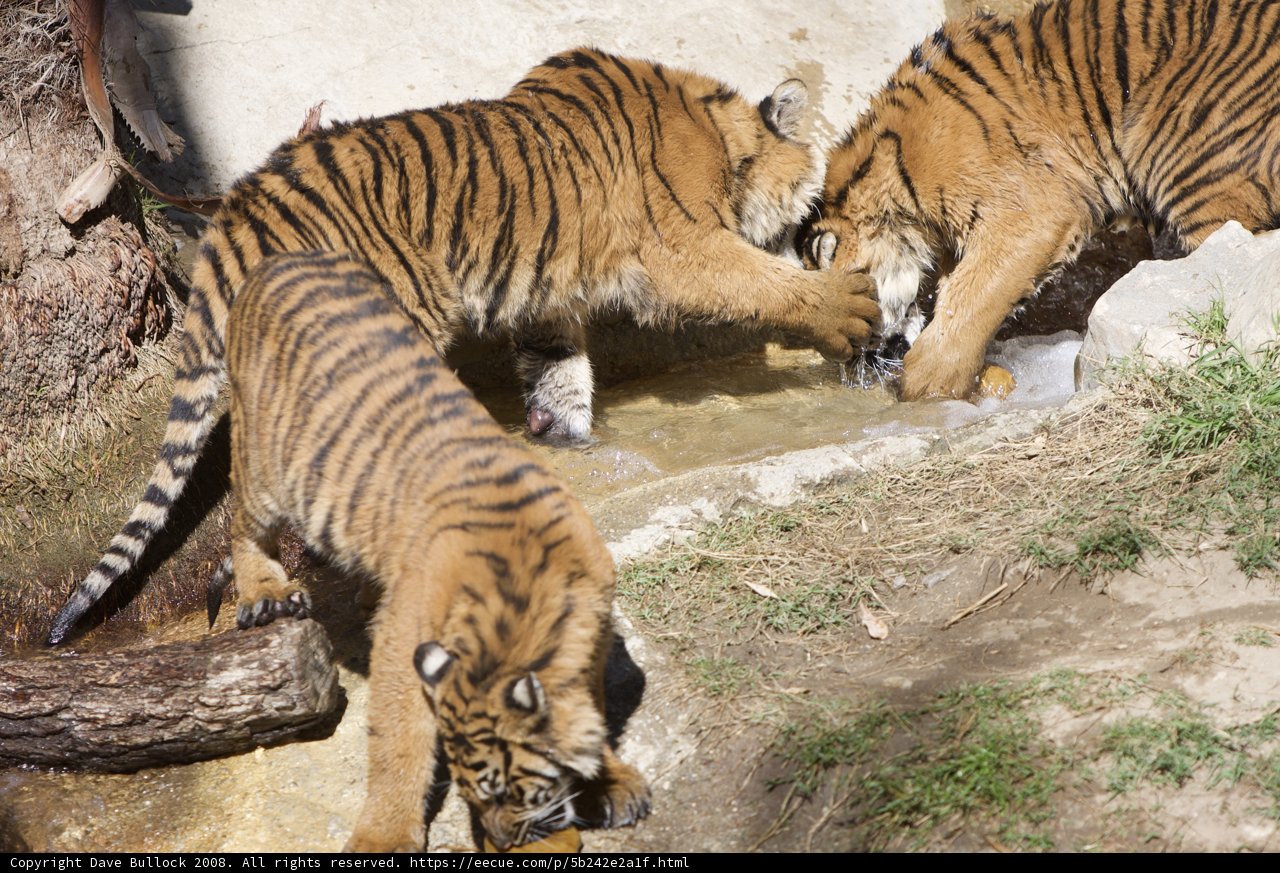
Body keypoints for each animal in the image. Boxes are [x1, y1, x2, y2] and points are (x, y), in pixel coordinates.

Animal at [47, 46, 879, 645]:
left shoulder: (550, 295)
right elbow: (760, 279)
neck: (718, 132)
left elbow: (560, 369)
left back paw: (259, 593)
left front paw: (565, 437)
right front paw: (844, 305)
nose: (818, 231)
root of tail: (241, 205)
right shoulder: (683, 248)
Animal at [220, 251, 649, 852]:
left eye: (505, 791)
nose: (499, 839)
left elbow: (593, 702)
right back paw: (266, 594)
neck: (524, 596)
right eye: (478, 791)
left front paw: (609, 781)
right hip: (263, 464)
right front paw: (384, 835)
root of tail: (282, 260)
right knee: (242, 524)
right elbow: (398, 742)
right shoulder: (404, 637)